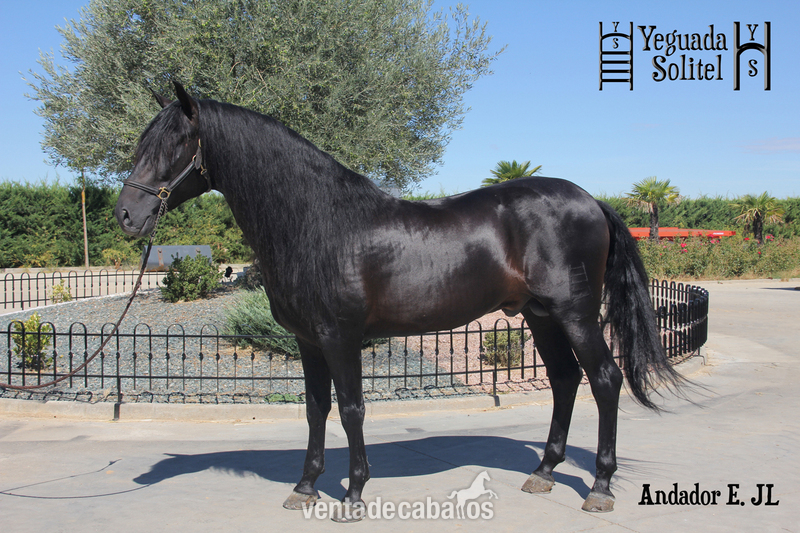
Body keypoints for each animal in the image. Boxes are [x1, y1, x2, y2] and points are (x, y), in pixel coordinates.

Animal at [116, 82, 683, 518]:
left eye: (174, 144)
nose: (125, 215)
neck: (318, 223)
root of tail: (592, 200)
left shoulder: (340, 338)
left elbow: (351, 410)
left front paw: (353, 495)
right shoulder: (307, 342)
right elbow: (315, 409)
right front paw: (305, 487)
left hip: (576, 315)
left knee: (605, 380)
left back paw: (600, 488)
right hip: (541, 316)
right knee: (564, 380)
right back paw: (543, 472)